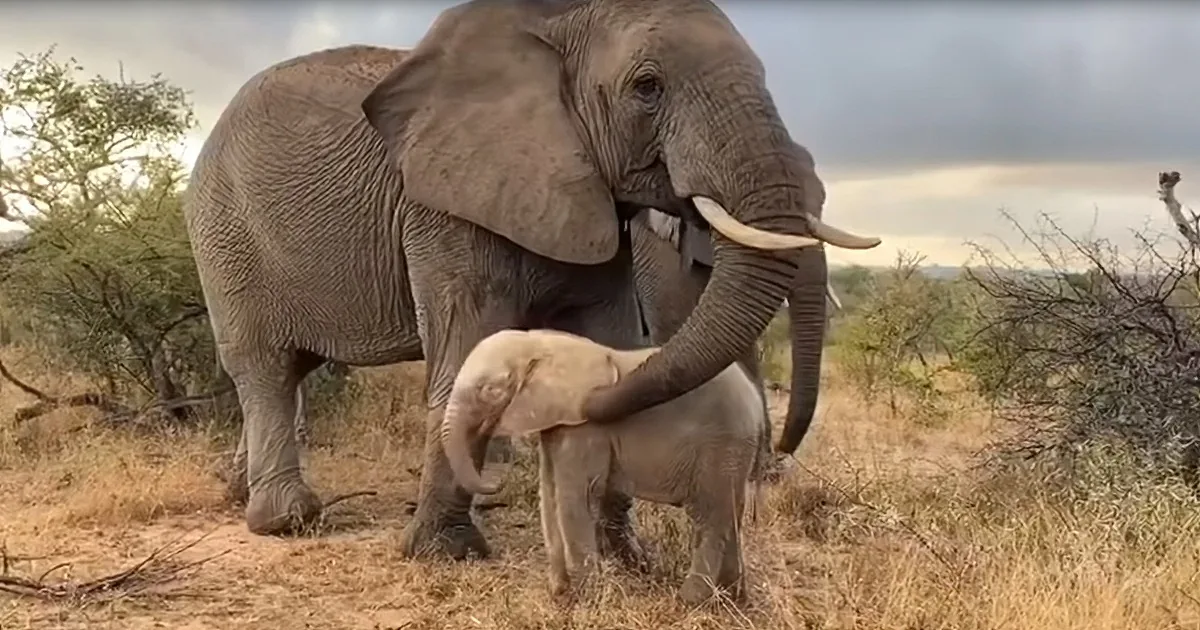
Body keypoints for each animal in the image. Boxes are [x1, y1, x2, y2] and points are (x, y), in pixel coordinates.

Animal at [184, 0, 880, 560]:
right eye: (647, 87)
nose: (783, 453)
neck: (555, 27)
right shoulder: (446, 206)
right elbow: (465, 352)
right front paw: (445, 555)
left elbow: (613, 342)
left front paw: (629, 559)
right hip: (226, 235)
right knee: (265, 367)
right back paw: (286, 521)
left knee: (293, 371)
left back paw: (237, 490)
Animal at [441, 329, 765, 605]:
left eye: (490, 390)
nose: (495, 484)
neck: (540, 343)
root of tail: (754, 401)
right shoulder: (557, 422)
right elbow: (549, 493)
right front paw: (560, 594)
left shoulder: (586, 429)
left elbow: (576, 497)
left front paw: (586, 598)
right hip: (734, 451)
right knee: (730, 513)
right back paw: (733, 600)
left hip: (722, 445)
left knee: (709, 515)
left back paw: (689, 602)